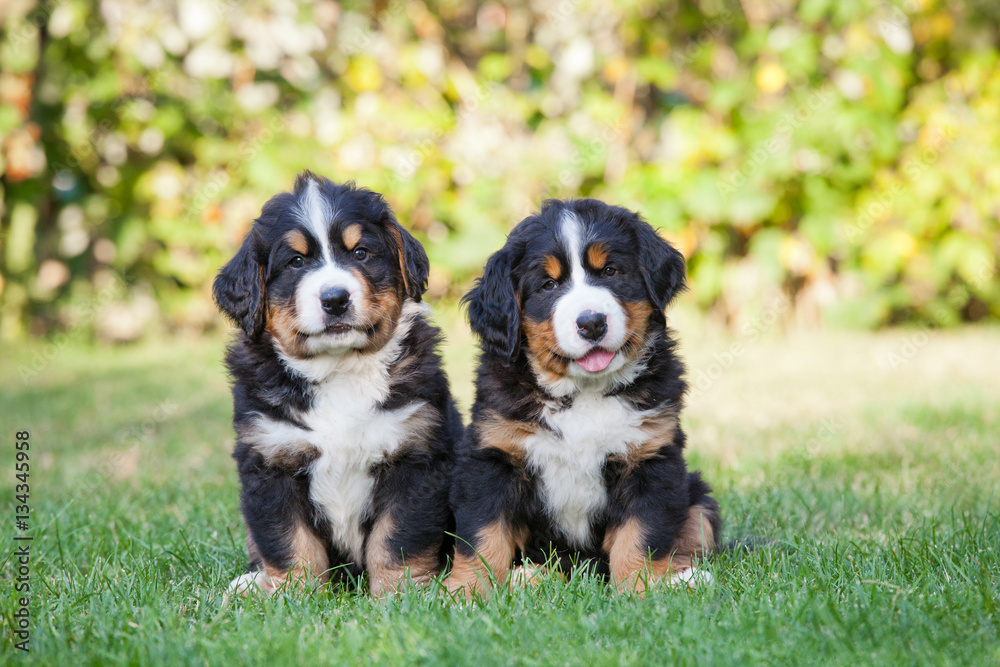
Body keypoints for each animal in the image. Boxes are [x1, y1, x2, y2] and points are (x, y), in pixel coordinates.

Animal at [217, 172, 462, 600]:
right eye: (296, 261)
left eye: (360, 253)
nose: (335, 299)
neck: (341, 368)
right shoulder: (271, 460)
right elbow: (290, 541)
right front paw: (292, 597)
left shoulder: (416, 456)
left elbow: (396, 538)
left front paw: (400, 596)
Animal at [446, 197, 720, 596]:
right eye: (548, 285)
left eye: (610, 271)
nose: (591, 322)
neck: (583, 393)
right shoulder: (494, 457)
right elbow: (482, 535)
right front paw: (465, 592)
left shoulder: (650, 457)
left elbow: (640, 534)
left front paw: (640, 590)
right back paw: (530, 576)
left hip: (699, 499)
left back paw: (684, 577)